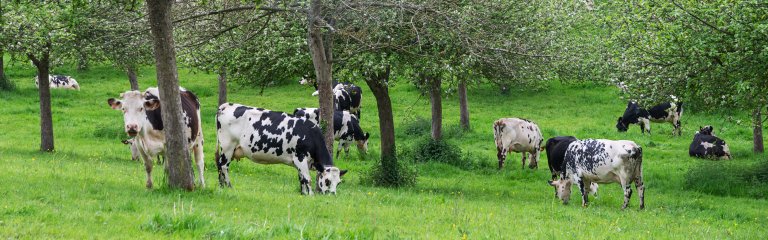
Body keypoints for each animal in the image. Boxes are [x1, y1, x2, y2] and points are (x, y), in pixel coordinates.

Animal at [216, 103, 348, 195]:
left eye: (338, 183)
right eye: (327, 181)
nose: (332, 194)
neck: (310, 134)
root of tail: (225, 105)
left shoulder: (299, 162)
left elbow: (301, 179)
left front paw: (303, 194)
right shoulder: (300, 158)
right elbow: (307, 179)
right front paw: (310, 195)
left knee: (219, 164)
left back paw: (221, 186)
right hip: (228, 146)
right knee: (224, 166)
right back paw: (229, 186)